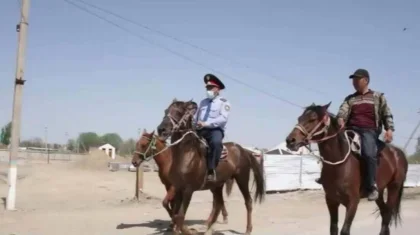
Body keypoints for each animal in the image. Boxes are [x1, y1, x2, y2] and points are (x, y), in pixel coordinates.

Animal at [156, 99, 264, 235]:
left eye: (179, 112)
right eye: (166, 111)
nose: (161, 130)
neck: (187, 154)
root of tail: (244, 150)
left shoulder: (188, 190)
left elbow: (180, 216)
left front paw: (187, 230)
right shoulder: (178, 187)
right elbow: (176, 216)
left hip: (242, 179)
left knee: (247, 201)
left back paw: (248, 229)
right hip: (217, 185)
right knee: (218, 204)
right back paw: (208, 227)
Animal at [286, 103, 406, 235]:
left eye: (313, 119)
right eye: (299, 118)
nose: (290, 140)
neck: (339, 165)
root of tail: (398, 153)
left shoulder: (353, 202)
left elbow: (344, 230)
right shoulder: (331, 201)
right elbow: (333, 228)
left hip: (394, 187)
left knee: (387, 214)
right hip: (379, 192)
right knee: (384, 212)